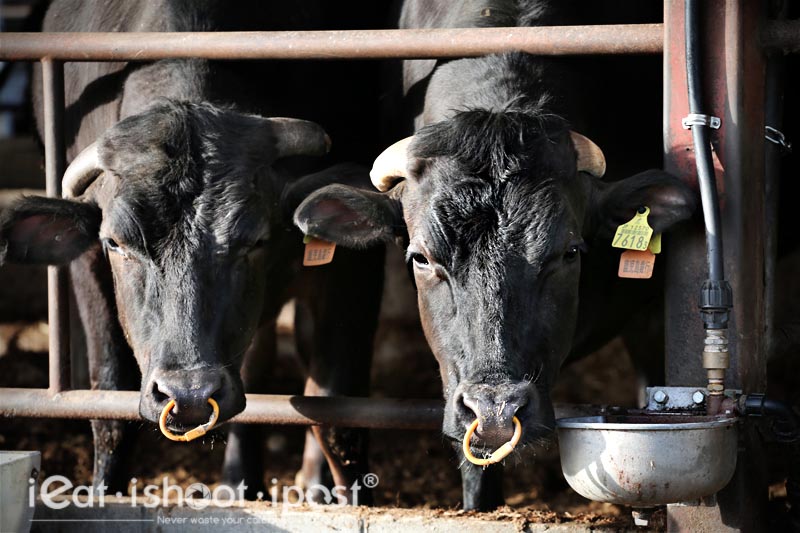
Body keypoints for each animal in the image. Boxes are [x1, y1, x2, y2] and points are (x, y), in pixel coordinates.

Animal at [0, 0, 384, 498]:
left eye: (256, 239)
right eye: (116, 242)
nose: (189, 396)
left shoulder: (353, 270)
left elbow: (339, 417)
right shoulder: (87, 268)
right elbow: (108, 404)